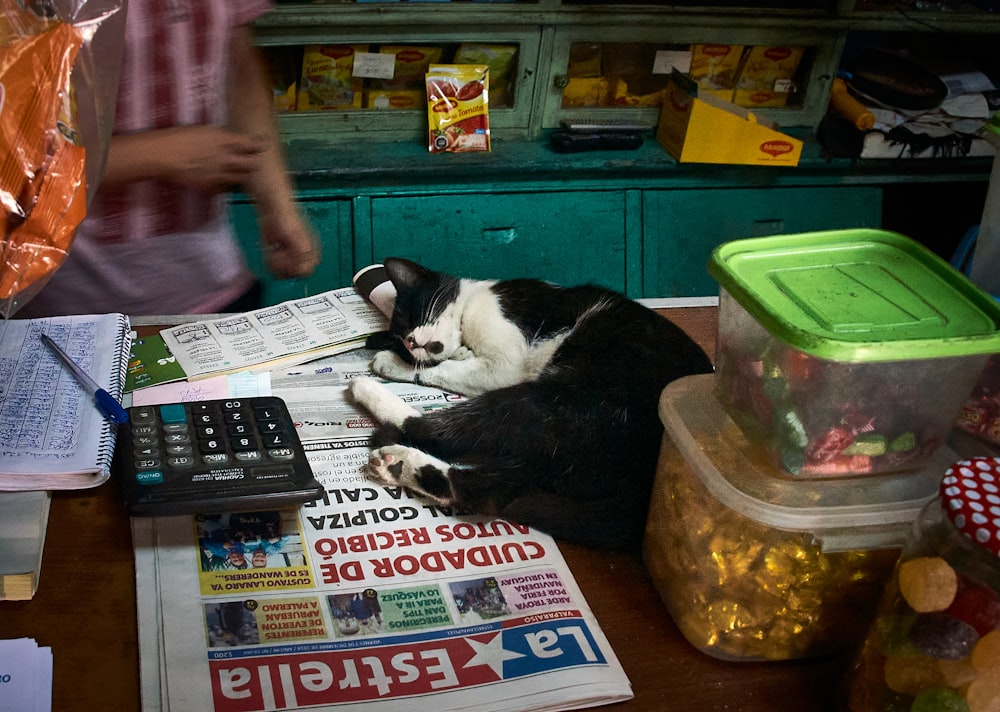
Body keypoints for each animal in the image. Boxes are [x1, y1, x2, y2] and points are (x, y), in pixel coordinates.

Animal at [348, 258, 716, 552]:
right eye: (403, 336)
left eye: (414, 315)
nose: (411, 342)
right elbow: (445, 364)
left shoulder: (505, 363)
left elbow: (444, 368)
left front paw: (390, 363)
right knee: (490, 491)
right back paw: (396, 461)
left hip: (551, 401)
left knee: (447, 445)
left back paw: (370, 398)